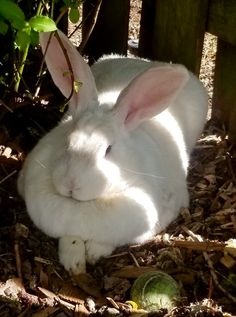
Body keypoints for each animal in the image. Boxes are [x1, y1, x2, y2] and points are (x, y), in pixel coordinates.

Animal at [17, 30, 208, 272]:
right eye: (68, 141)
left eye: (108, 150)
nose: (72, 185)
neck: (85, 206)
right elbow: (69, 238)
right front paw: (73, 261)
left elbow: (107, 240)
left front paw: (94, 252)